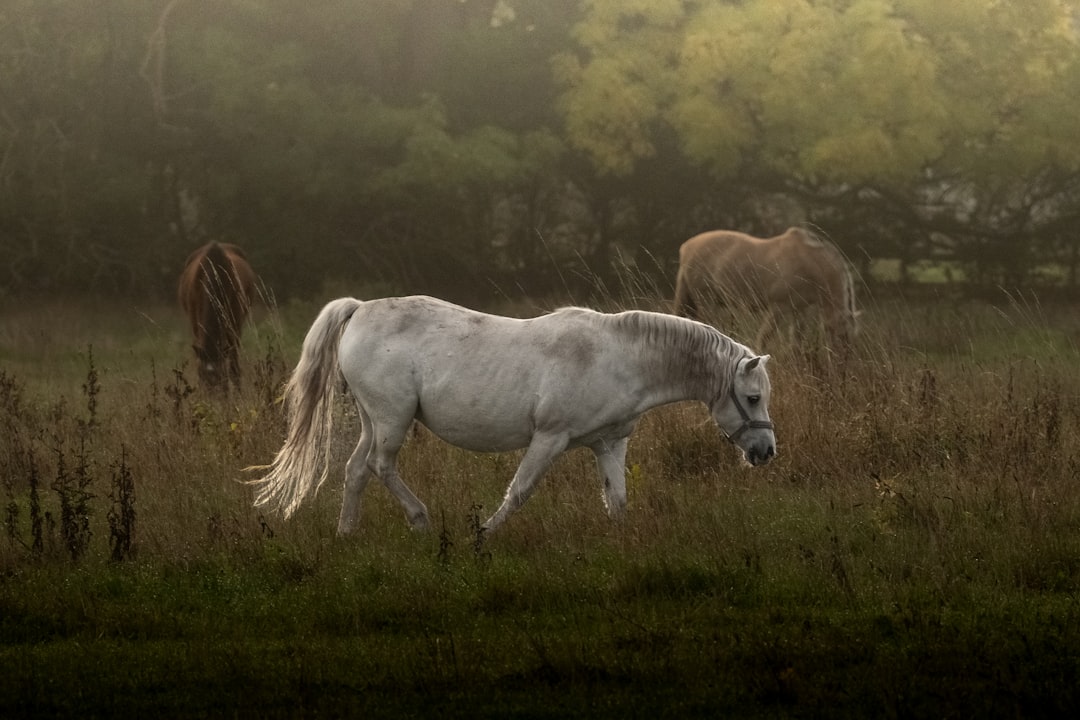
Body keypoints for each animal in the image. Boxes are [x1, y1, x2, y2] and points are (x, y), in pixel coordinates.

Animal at [180, 241, 260, 390]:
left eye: (223, 376)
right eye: (201, 376)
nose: (215, 395)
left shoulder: (235, 325)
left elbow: (234, 365)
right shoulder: (195, 322)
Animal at [250, 293, 777, 535]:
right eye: (753, 398)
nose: (767, 451)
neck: (618, 356)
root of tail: (359, 309)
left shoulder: (609, 442)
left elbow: (618, 499)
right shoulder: (549, 438)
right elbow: (520, 491)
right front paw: (483, 535)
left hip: (373, 420)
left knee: (357, 469)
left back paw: (346, 533)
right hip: (393, 420)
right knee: (381, 466)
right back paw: (420, 520)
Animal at [673, 226, 859, 347]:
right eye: (841, 337)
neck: (806, 261)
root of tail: (686, 247)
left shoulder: (799, 311)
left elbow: (796, 345)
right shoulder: (778, 308)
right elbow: (763, 340)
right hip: (705, 302)